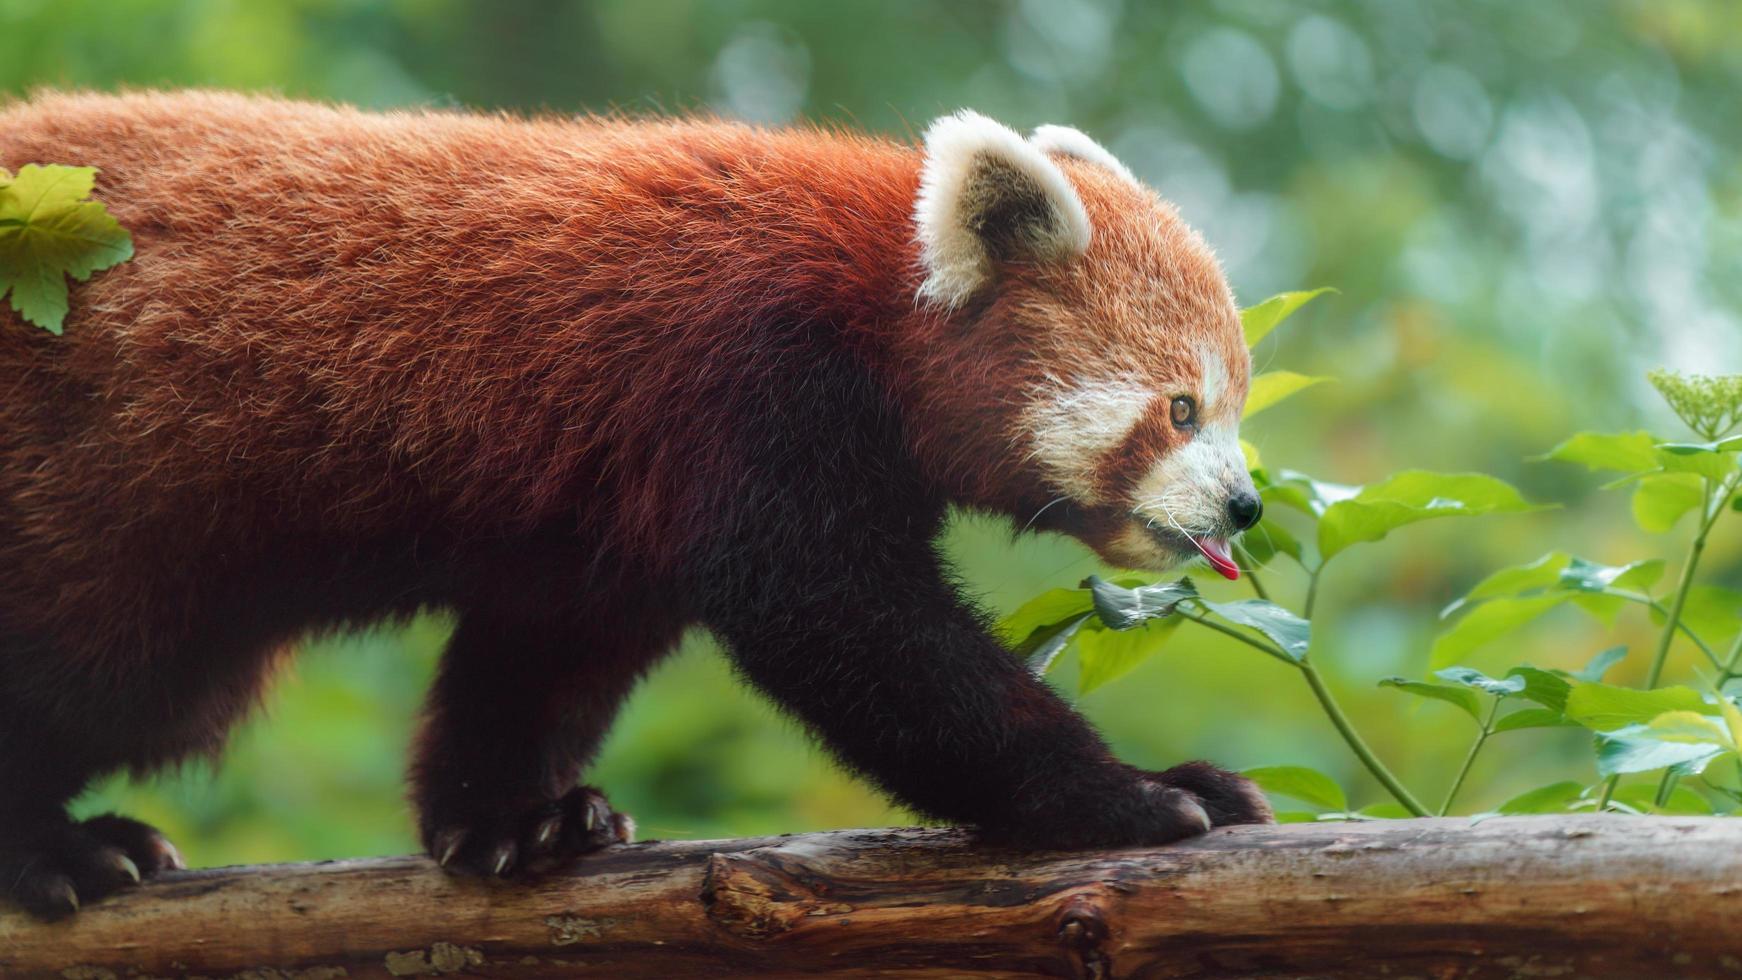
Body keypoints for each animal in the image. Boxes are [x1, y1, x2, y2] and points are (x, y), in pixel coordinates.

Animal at [3, 90, 1282, 919]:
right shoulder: (744, 393)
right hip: (100, 501)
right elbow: (858, 635)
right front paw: (1135, 792)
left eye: (1230, 406)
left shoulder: (601, 509)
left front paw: (509, 817)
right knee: (90, 668)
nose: (1244, 507)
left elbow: (544, 655)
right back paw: (59, 851)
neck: (870, 300)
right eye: (1179, 408)